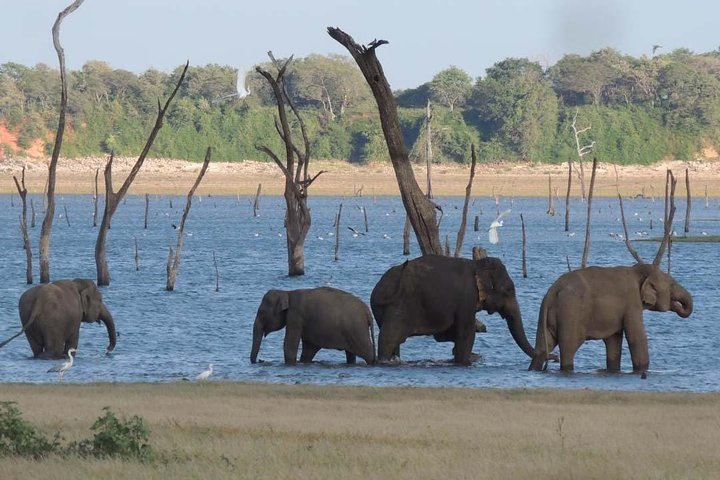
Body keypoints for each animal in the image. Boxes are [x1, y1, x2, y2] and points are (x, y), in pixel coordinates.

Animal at [372, 255, 536, 364]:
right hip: (399, 306)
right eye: (509, 290)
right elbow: (466, 334)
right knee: (389, 338)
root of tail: (378, 290)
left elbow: (444, 334)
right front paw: (465, 360)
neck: (477, 264)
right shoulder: (467, 297)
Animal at [528, 264, 692, 374]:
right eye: (672, 285)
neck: (637, 270)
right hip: (571, 312)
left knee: (543, 347)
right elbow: (636, 336)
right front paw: (642, 371)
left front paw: (613, 370)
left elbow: (614, 340)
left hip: (547, 316)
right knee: (569, 347)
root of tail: (553, 290)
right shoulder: (632, 302)